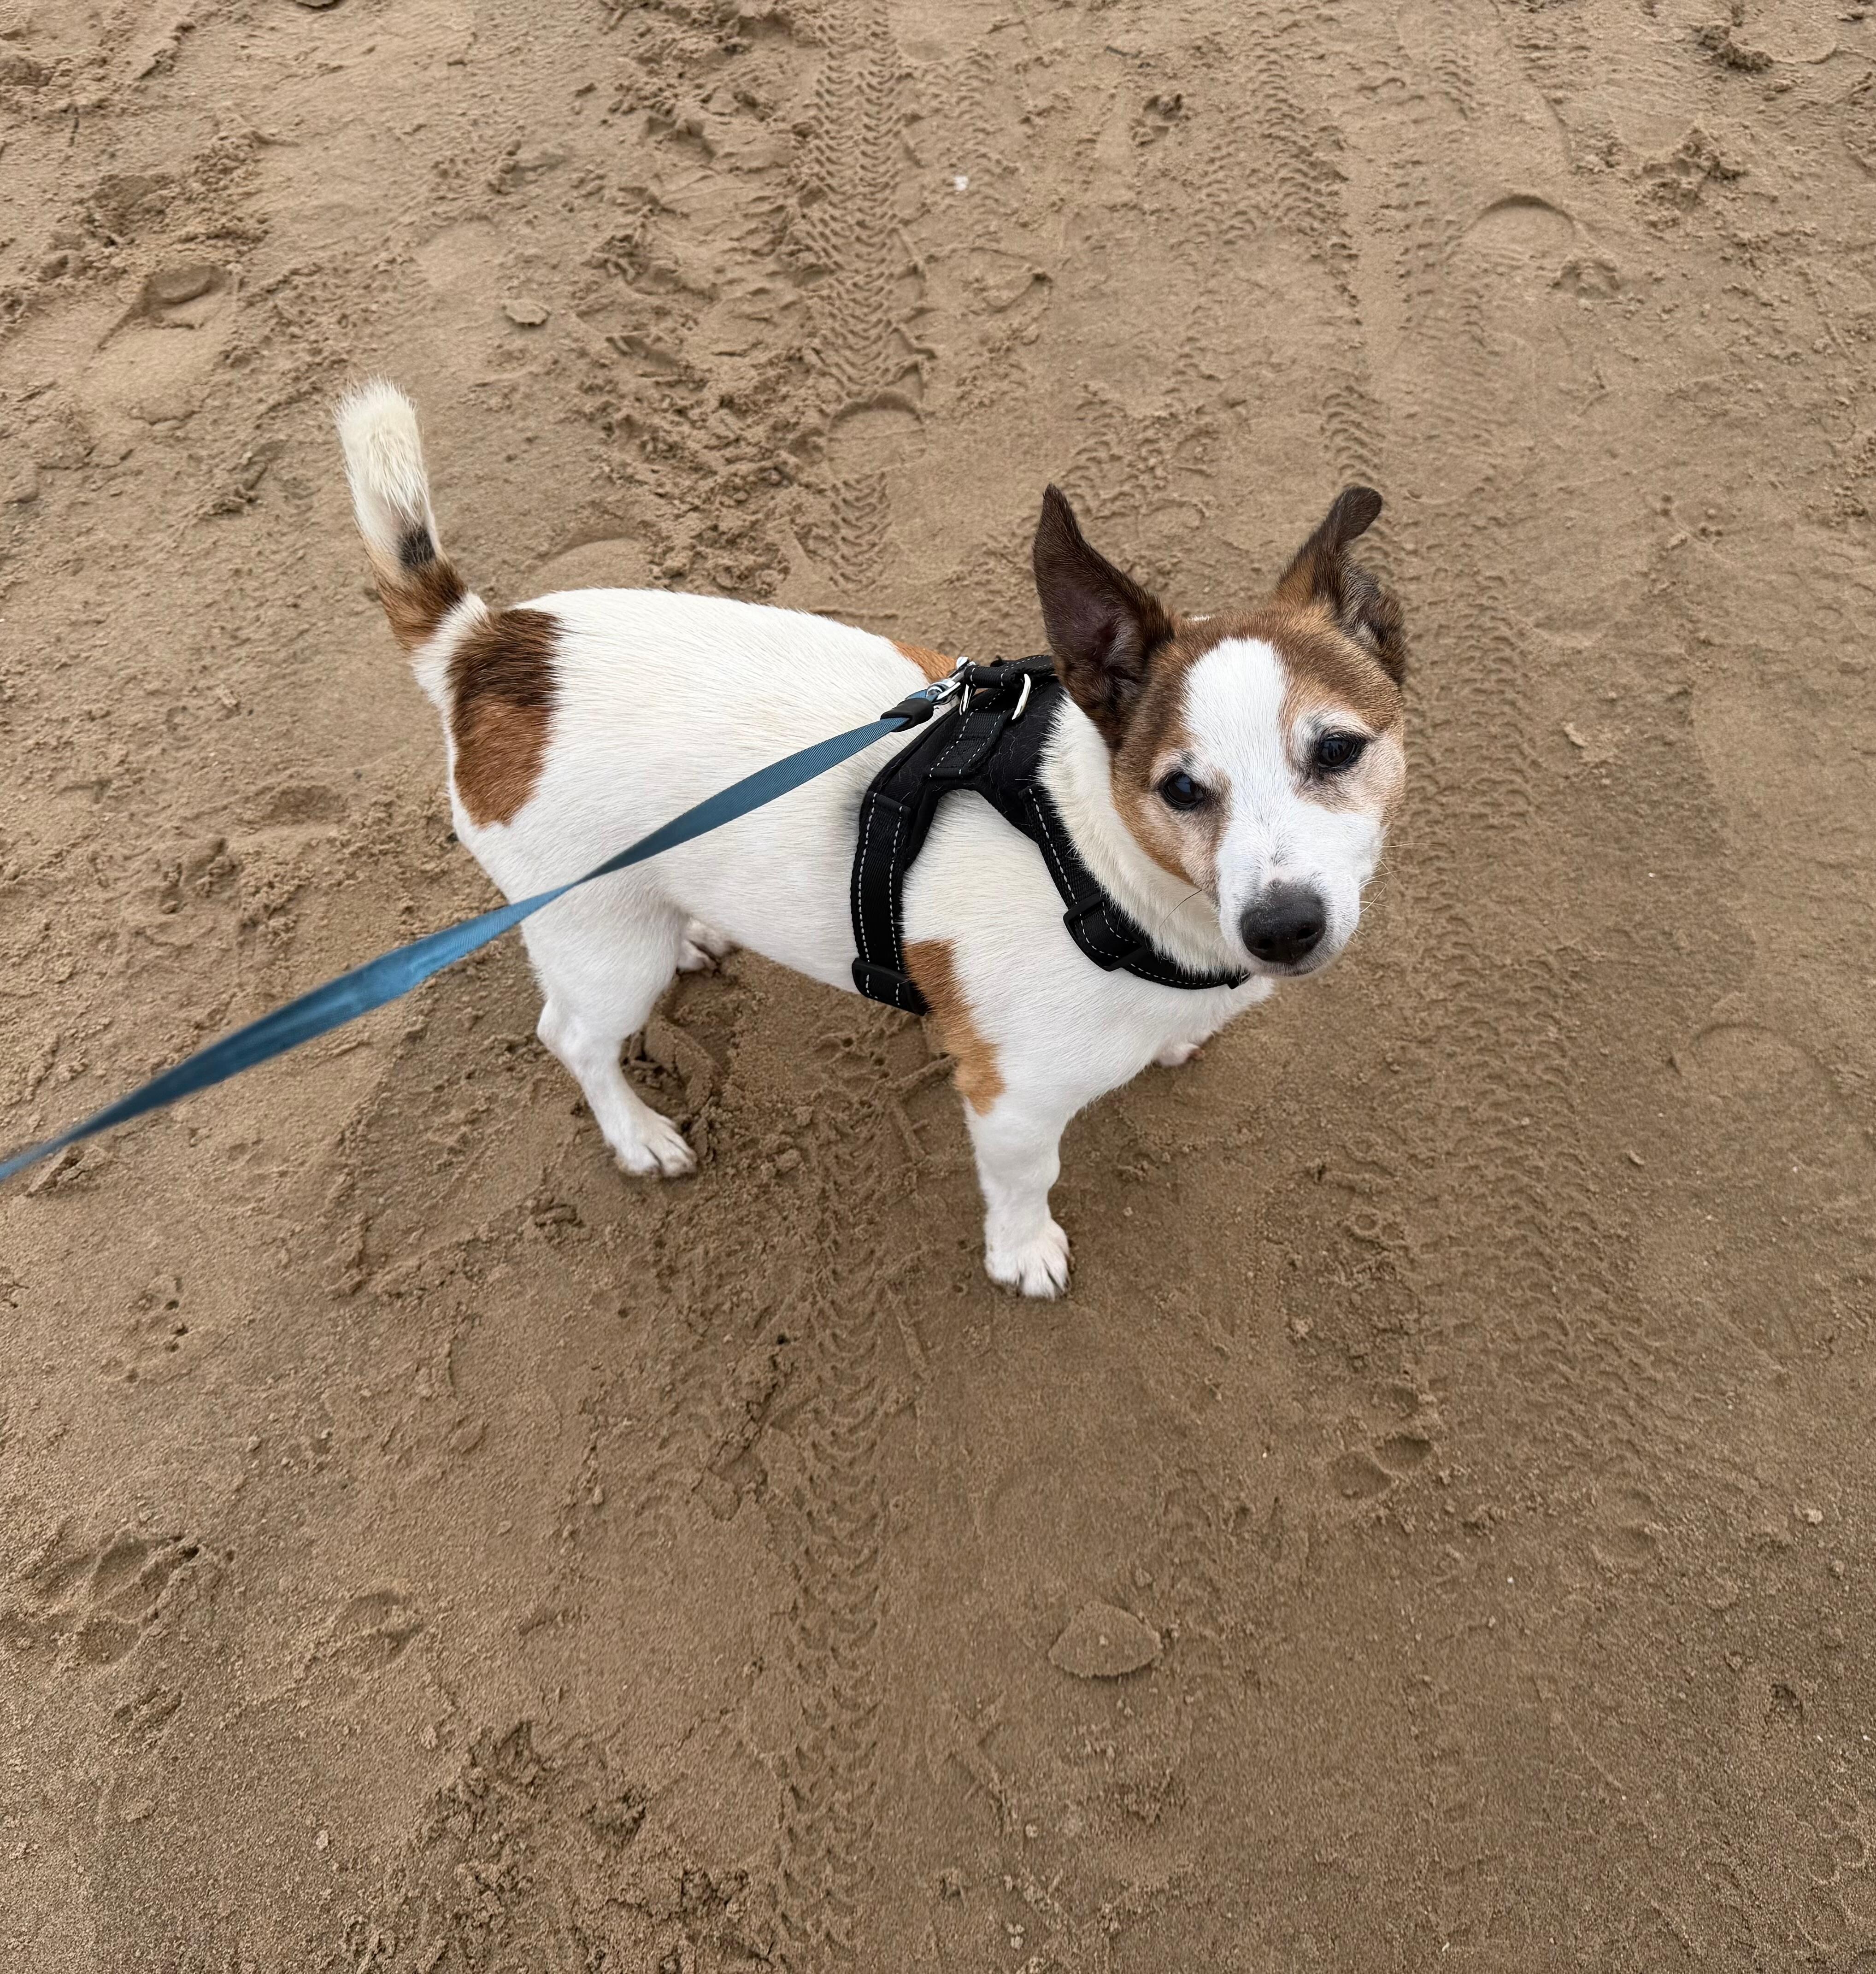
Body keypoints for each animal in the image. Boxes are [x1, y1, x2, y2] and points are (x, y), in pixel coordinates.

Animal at [336, 383, 1406, 1297]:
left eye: (1337, 750)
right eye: (1180, 789)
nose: (1282, 928)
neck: (1098, 871)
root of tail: (485, 650)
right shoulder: (1012, 1102)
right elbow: (1025, 1183)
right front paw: (1023, 1253)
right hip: (599, 945)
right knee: (571, 1035)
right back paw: (636, 1133)